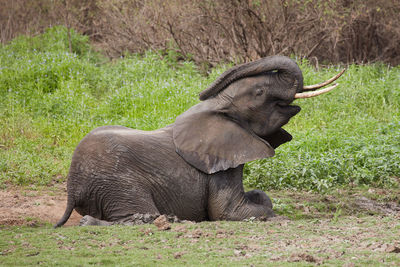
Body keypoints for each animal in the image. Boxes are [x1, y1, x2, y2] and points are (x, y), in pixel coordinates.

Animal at [54, 56, 346, 228]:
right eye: (260, 92)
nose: (202, 91)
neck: (216, 105)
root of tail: (72, 188)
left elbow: (259, 197)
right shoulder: (222, 161)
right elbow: (228, 212)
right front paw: (276, 217)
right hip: (117, 183)